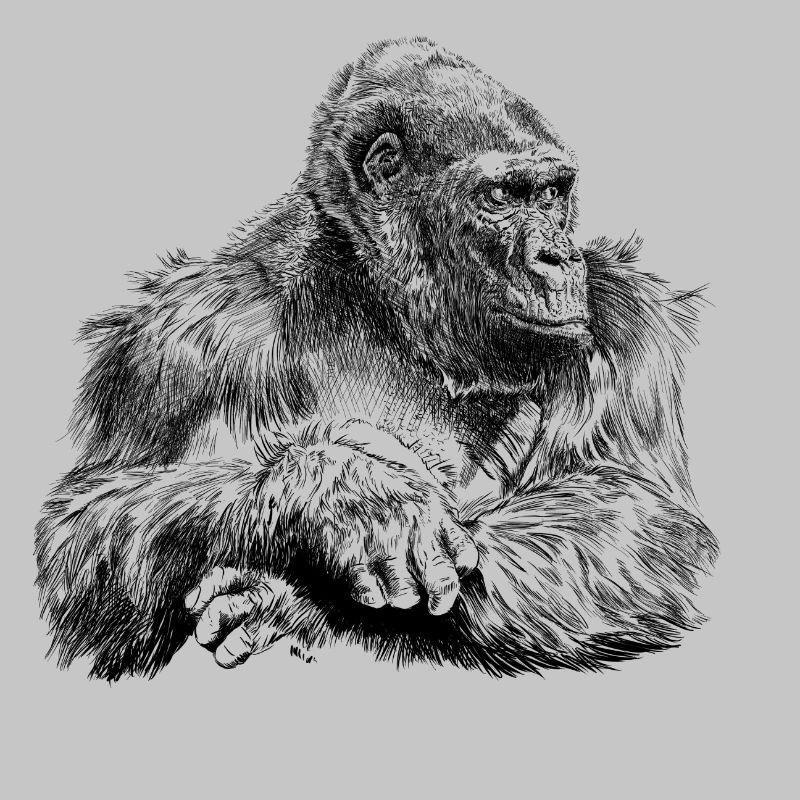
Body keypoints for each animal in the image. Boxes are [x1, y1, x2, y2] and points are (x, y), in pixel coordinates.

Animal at [35, 37, 718, 680]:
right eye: (503, 196)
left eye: (552, 194)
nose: (559, 256)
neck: (383, 303)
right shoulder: (184, 337)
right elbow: (88, 528)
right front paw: (345, 496)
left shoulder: (627, 320)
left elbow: (642, 517)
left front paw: (298, 602)